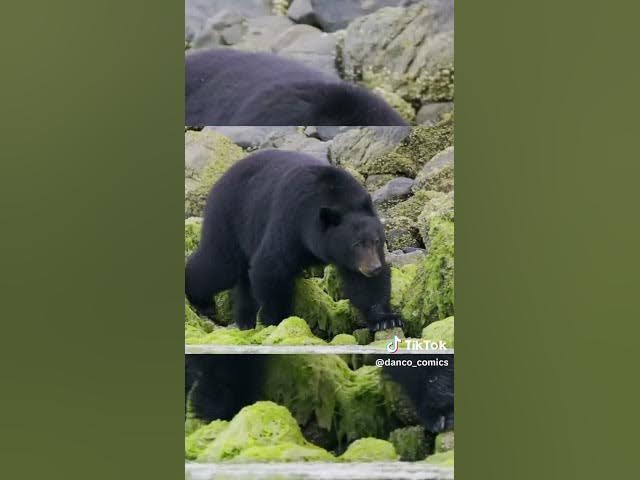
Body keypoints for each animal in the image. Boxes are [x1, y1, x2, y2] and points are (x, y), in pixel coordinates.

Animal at [185, 149, 403, 332]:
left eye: (376, 241)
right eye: (356, 244)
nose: (373, 268)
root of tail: (222, 177)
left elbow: (365, 285)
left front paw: (386, 319)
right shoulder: (290, 221)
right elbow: (271, 267)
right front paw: (277, 319)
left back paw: (245, 320)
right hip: (230, 216)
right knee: (220, 264)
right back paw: (203, 302)